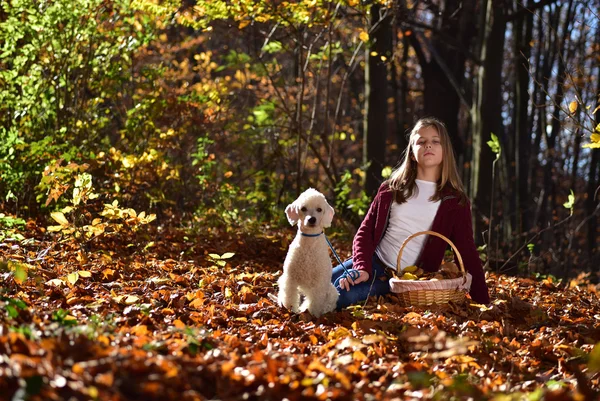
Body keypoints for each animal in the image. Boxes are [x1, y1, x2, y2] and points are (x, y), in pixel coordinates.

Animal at [278, 188, 340, 316]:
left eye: (319, 209)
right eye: (303, 208)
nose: (312, 219)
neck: (309, 245)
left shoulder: (319, 283)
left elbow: (315, 301)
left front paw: (310, 313)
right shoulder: (290, 278)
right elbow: (289, 295)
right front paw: (289, 309)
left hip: (332, 291)